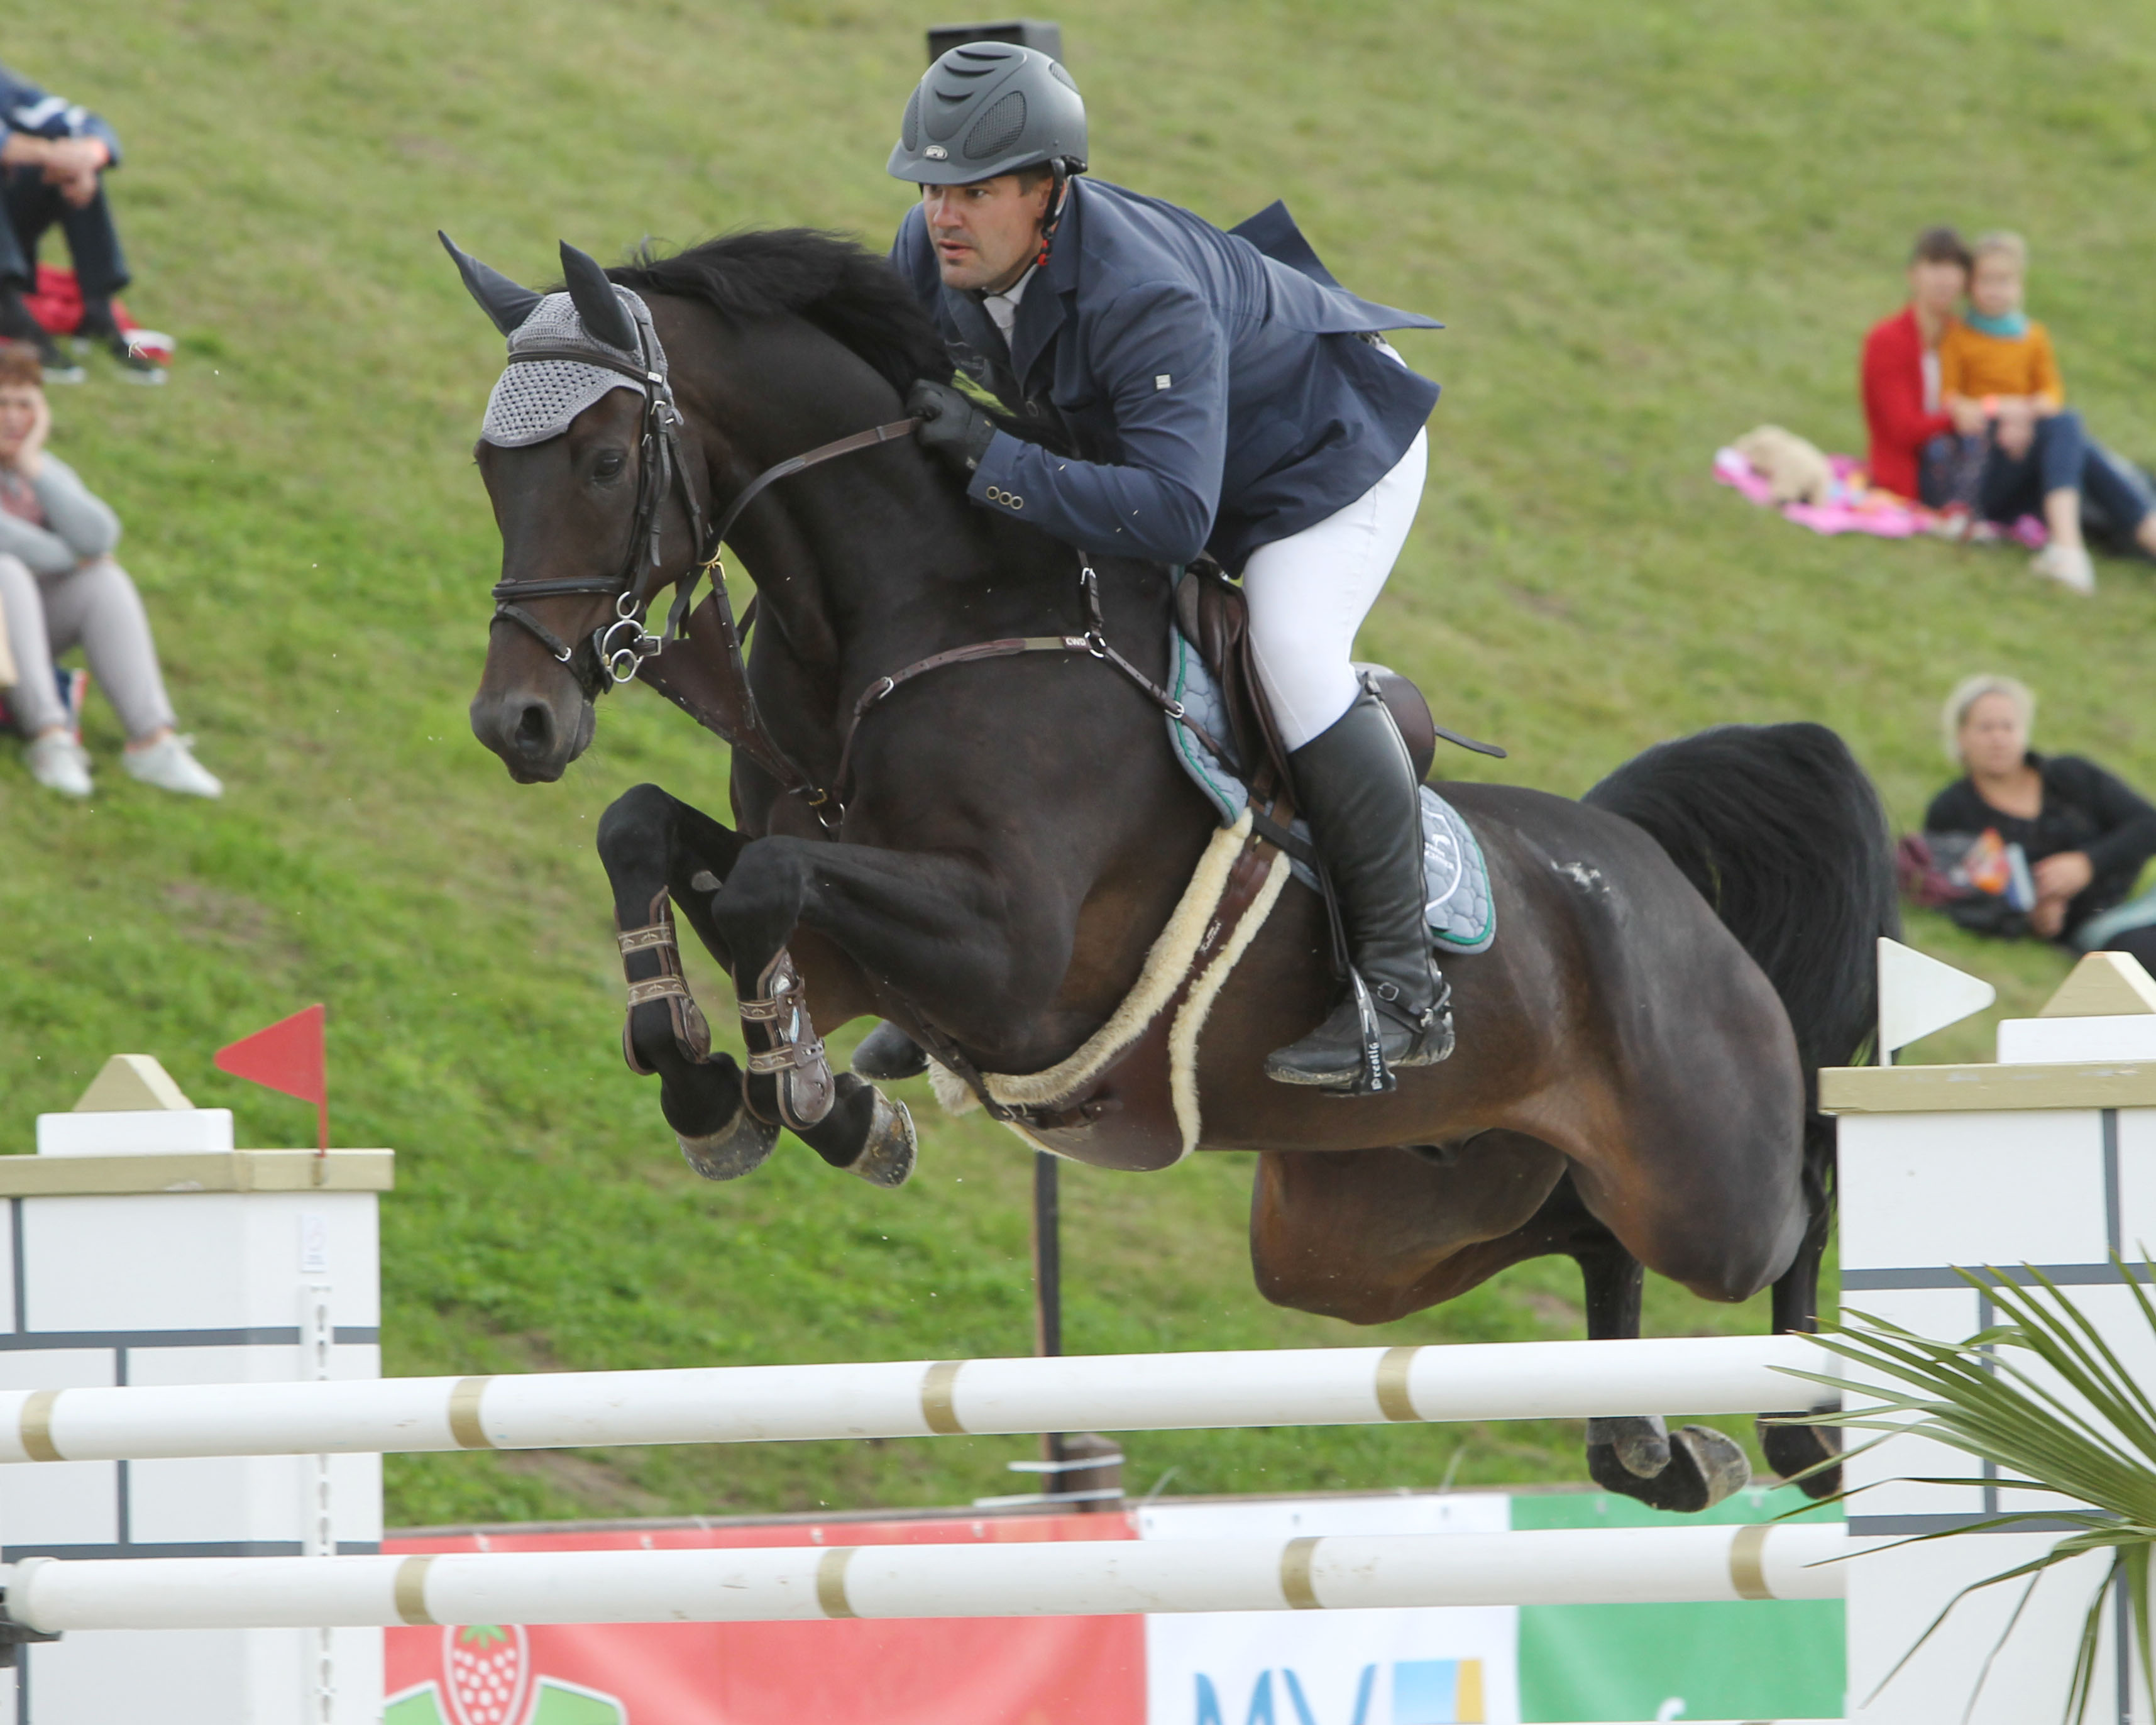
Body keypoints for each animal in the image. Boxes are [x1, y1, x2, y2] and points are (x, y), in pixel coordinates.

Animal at [463, 225, 1897, 1509]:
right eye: (488, 466)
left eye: (603, 460)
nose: (515, 724)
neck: (916, 614)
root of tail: (1648, 868)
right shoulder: (858, 939)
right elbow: (653, 834)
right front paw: (731, 1086)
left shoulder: (1011, 958)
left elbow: (768, 880)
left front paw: (808, 1097)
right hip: (1368, 1229)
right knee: (1584, 1233)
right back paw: (1645, 1442)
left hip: (1704, 1178)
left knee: (1799, 1191)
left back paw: (1807, 1430)